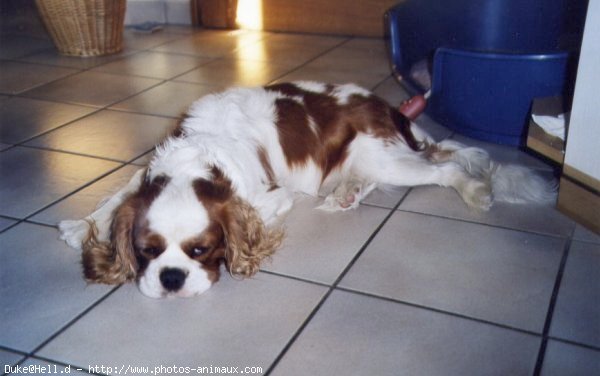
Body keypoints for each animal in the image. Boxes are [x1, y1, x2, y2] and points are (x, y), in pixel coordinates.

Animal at [58, 81, 556, 298]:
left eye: (201, 251)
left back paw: (474, 191)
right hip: (372, 162)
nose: (171, 278)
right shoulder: (146, 173)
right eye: (148, 251)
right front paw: (82, 225)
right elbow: (118, 196)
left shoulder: (271, 197)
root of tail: (389, 108)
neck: (198, 156)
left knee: (446, 167)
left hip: (387, 159)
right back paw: (347, 193)